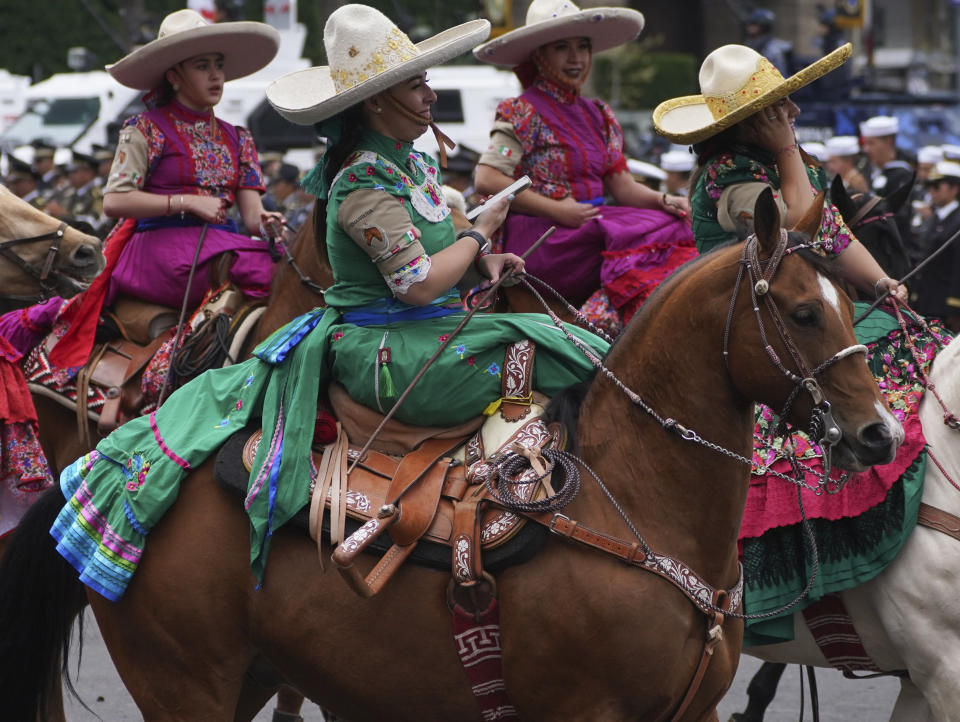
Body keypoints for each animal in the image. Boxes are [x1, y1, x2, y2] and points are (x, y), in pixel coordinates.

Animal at [0, 190, 900, 720]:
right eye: (801, 312)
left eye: (850, 298)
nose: (877, 434)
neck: (638, 502)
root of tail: (98, 479)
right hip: (186, 686)